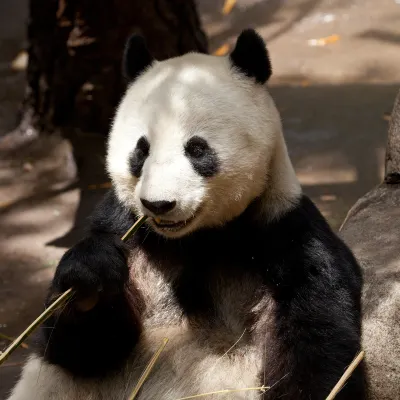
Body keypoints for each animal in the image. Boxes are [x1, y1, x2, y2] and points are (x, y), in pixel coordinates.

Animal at [7, 29, 368, 398]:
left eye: (196, 149)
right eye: (141, 151)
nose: (158, 204)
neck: (197, 239)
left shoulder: (286, 236)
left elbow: (318, 349)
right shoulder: (124, 228)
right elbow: (83, 350)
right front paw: (90, 275)